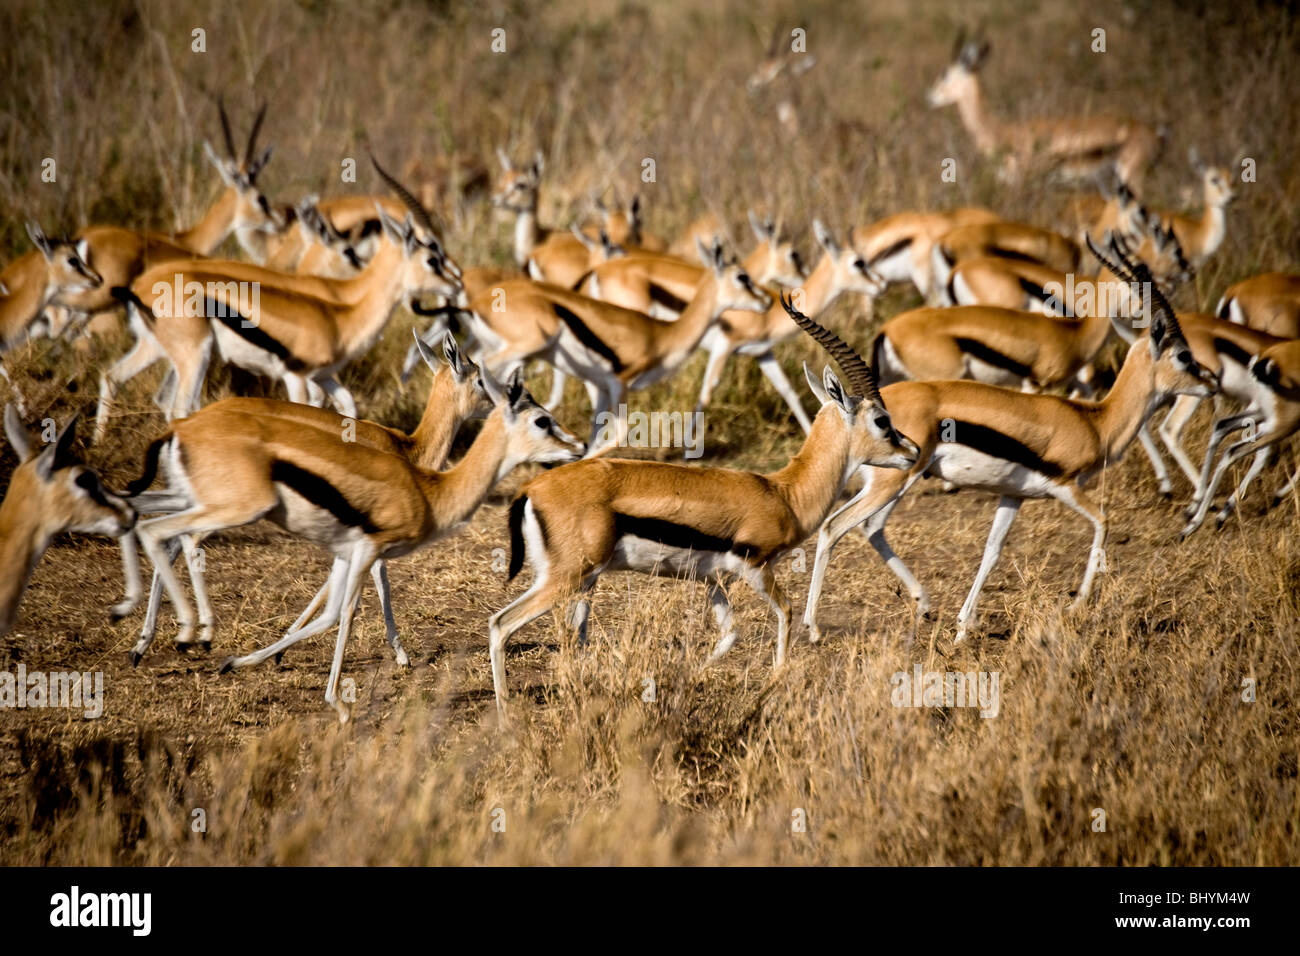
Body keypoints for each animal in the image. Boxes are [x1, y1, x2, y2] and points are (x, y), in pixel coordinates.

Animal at [96, 158, 461, 442]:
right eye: (432, 257)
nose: (458, 283)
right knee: (178, 406)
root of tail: (142, 287)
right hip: (194, 355)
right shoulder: (297, 375)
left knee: (114, 377)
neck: (343, 310)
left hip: (156, 348)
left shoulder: (325, 376)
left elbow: (347, 407)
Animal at [124, 368, 583, 720]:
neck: (426, 484)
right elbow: (349, 609)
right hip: (231, 509)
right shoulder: (367, 550)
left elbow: (330, 613)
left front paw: (247, 660)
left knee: (141, 519)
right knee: (166, 535)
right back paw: (189, 632)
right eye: (542, 420)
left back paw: (146, 638)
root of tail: (181, 428)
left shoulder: (348, 552)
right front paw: (344, 700)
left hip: (196, 500)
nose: (576, 446)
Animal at [485, 293, 919, 717]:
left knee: (569, 633)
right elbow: (786, 612)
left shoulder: (713, 580)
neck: (784, 493)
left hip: (584, 581)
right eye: (882, 420)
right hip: (566, 578)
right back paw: (506, 714)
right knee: (501, 623)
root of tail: (531, 489)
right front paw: (775, 684)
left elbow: (730, 635)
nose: (913, 451)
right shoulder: (756, 569)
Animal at [801, 243, 1217, 646]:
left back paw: (923, 605)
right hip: (895, 481)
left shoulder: (1012, 496)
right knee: (836, 527)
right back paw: (814, 628)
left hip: (893, 481)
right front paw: (1075, 607)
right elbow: (1103, 522)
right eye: (1184, 355)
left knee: (870, 528)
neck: (1095, 421)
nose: (1212, 381)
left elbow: (992, 551)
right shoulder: (1065, 487)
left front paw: (962, 628)